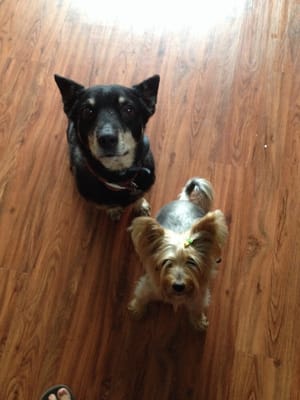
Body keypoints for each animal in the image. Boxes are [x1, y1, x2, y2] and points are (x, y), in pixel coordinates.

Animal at [55, 73, 161, 220]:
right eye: (87, 111)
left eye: (129, 109)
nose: (107, 139)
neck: (119, 177)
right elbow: (109, 206)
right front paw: (114, 211)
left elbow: (139, 198)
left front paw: (141, 206)